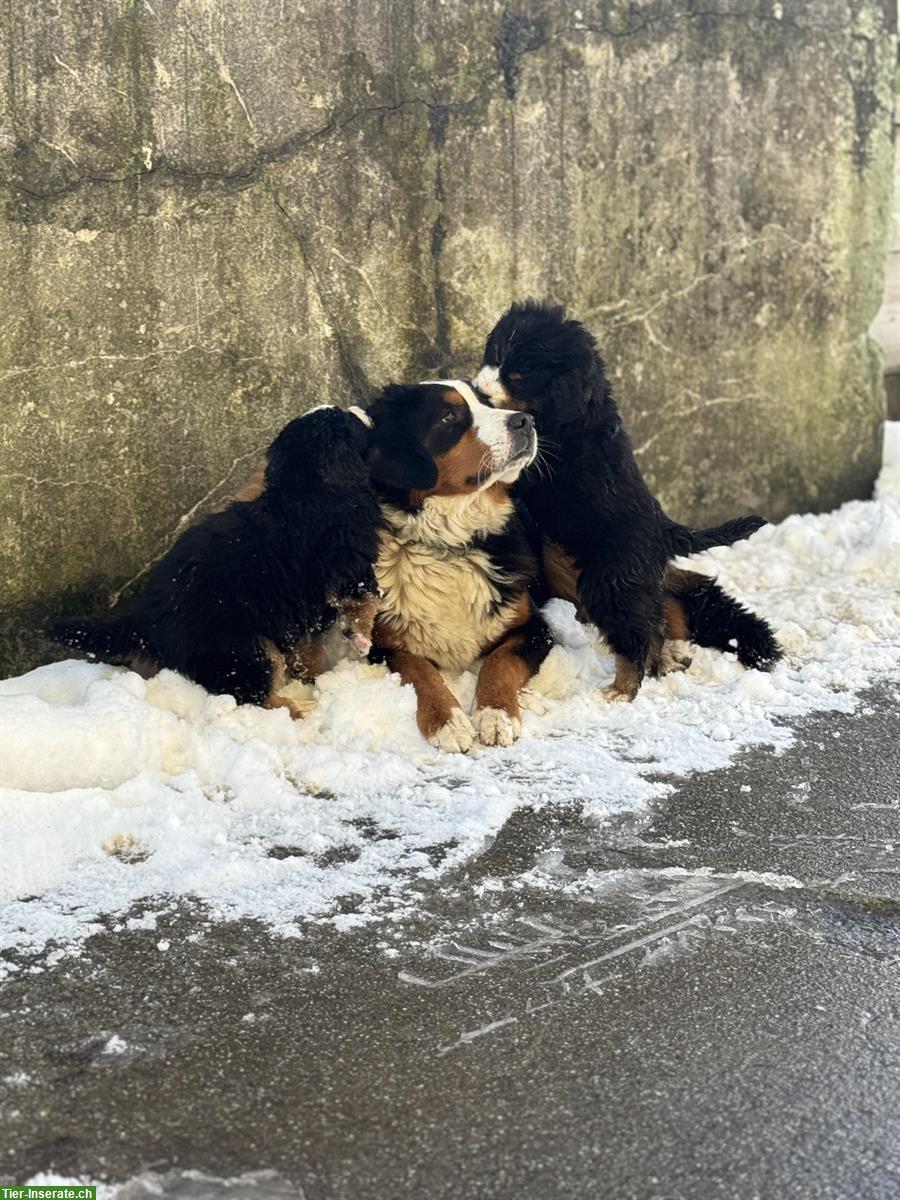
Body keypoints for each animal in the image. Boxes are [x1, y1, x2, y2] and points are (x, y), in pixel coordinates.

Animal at [47, 403, 381, 720]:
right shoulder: (349, 566)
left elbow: (308, 649)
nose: (363, 410)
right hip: (243, 649)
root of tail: (144, 619)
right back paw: (301, 709)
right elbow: (368, 600)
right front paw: (361, 640)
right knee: (253, 694)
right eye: (344, 417)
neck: (307, 491)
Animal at [364, 376, 549, 748]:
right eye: (449, 417)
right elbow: (419, 670)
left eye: (487, 403)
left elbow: (500, 660)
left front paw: (495, 713)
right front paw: (446, 720)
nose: (525, 420)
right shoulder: (382, 644)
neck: (449, 548)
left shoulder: (534, 626)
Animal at [475, 298, 787, 700]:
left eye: (516, 376)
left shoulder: (539, 460)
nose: (477, 387)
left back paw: (623, 689)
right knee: (652, 627)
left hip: (608, 584)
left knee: (636, 636)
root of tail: (663, 530)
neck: (580, 415)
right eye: (495, 357)